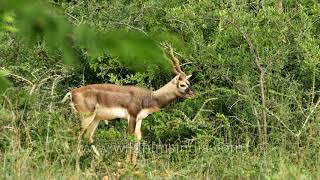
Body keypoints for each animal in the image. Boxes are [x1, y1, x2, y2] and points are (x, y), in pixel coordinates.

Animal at [61, 44, 194, 164]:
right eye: (182, 84)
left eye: (189, 82)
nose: (193, 94)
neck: (150, 97)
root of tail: (72, 93)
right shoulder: (132, 116)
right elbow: (130, 136)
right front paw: (127, 162)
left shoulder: (140, 119)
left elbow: (138, 137)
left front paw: (134, 162)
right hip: (86, 117)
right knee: (75, 133)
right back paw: (76, 156)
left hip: (95, 118)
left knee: (87, 135)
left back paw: (98, 158)